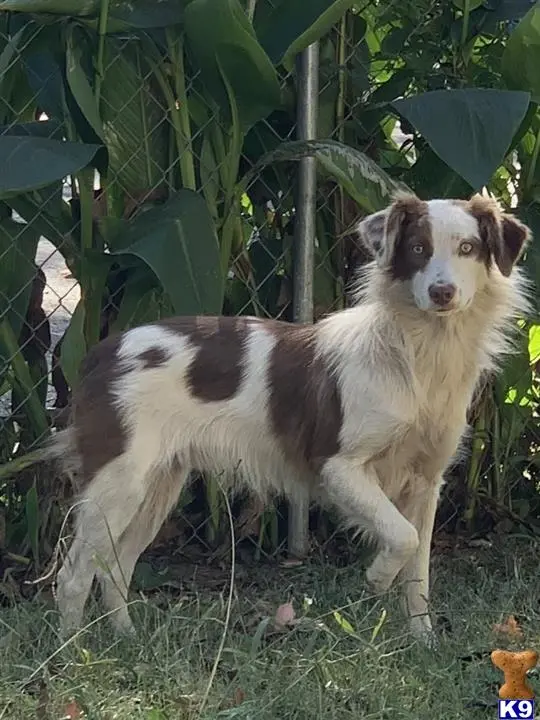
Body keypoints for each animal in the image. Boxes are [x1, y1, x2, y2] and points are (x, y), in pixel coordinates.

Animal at [43, 191, 532, 640]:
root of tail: (102, 351)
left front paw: (422, 640)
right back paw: (74, 654)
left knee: (114, 564)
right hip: (120, 480)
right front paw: (377, 577)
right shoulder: (338, 466)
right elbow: (402, 537)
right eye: (417, 249)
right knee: (73, 574)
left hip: (158, 484)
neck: (419, 357)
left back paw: (125, 638)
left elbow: (419, 571)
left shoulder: (428, 482)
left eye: (468, 248)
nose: (442, 292)